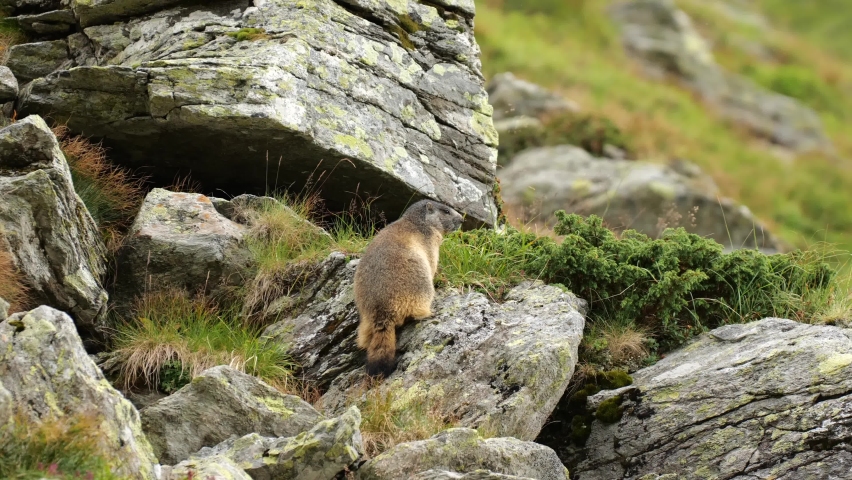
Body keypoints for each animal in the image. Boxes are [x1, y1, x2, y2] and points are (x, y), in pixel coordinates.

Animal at [353, 199, 464, 378]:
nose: (462, 219)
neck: (419, 222)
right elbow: (433, 261)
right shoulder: (431, 242)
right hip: (419, 286)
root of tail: (382, 314)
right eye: (446, 211)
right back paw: (429, 313)